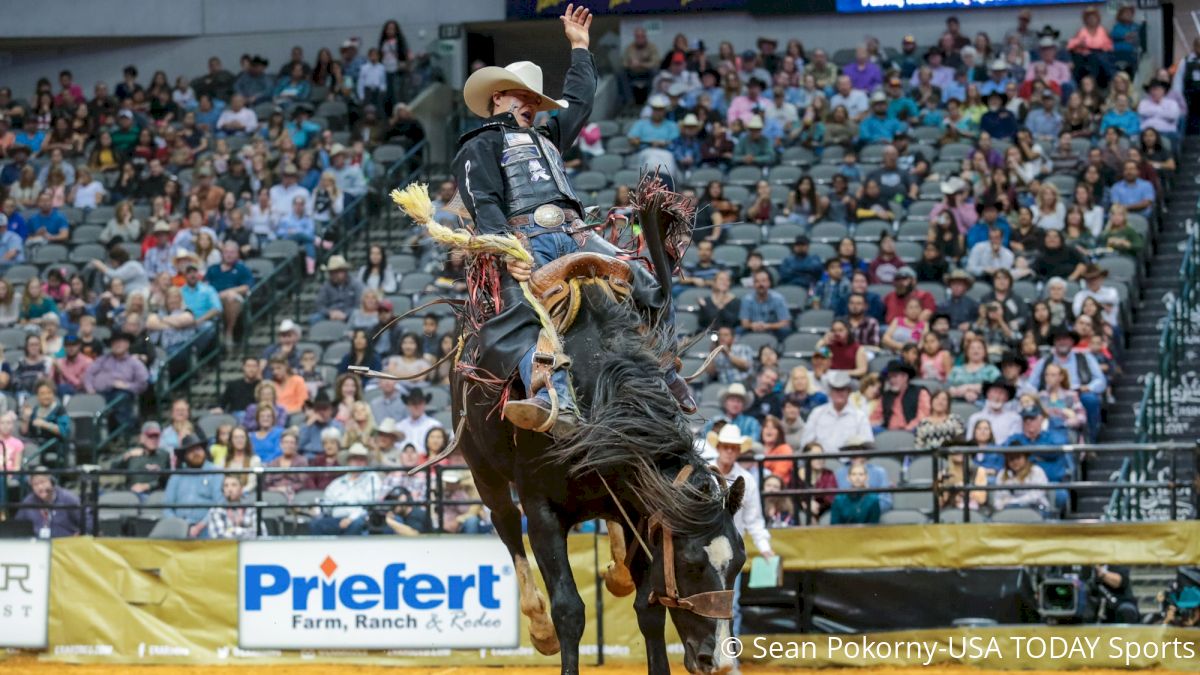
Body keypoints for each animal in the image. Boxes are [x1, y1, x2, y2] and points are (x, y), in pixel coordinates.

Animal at [386, 178, 739, 672]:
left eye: (739, 564)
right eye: (691, 564)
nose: (719, 659)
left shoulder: (638, 507)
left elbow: (648, 607)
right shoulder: (542, 511)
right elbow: (569, 609)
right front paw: (552, 630)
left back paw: (616, 571)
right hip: (483, 470)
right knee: (505, 525)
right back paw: (539, 627)